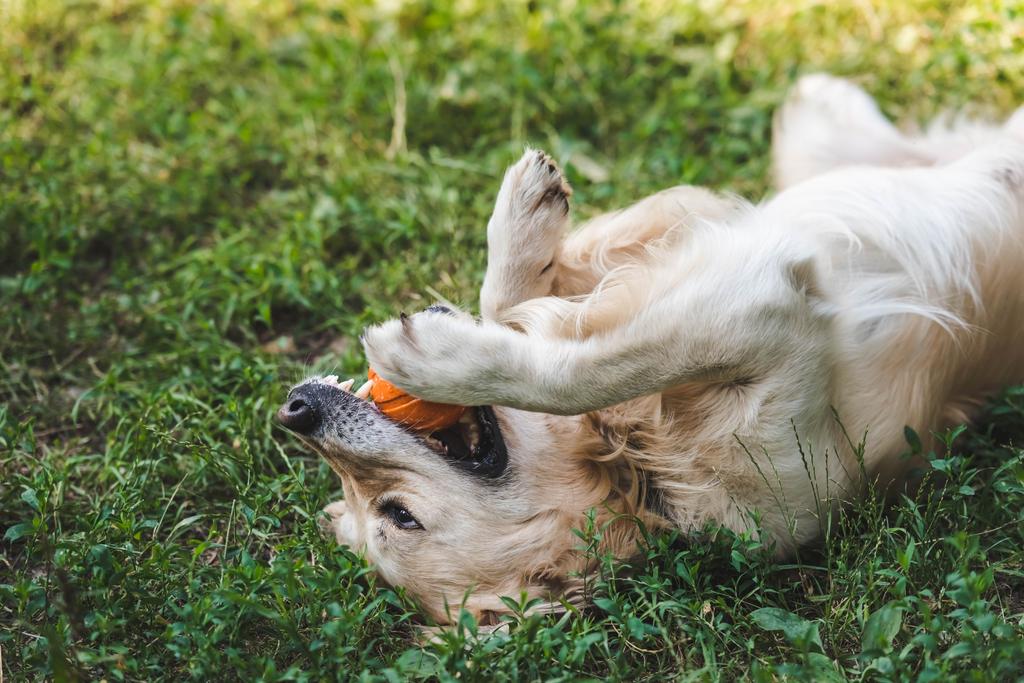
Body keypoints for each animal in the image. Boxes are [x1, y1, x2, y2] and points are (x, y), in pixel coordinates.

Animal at [276, 76, 1024, 626]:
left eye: (396, 515)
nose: (296, 408)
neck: (642, 466)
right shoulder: (773, 322)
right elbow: (590, 364)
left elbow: (534, 324)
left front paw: (518, 226)